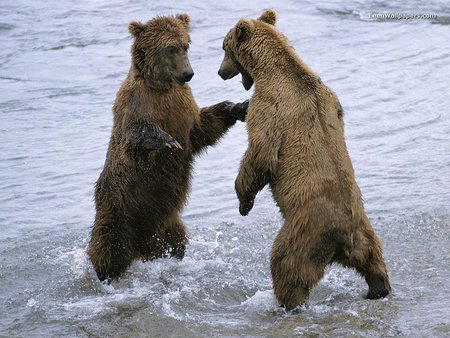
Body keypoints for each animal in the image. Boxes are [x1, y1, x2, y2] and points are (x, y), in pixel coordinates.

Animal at [86, 13, 248, 282]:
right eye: (170, 48)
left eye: (185, 45)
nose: (189, 73)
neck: (162, 86)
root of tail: (140, 248)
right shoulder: (135, 103)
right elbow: (133, 140)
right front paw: (165, 140)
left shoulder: (183, 108)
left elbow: (201, 129)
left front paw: (239, 106)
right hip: (117, 208)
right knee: (107, 248)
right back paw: (103, 274)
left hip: (168, 222)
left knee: (176, 242)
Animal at [218, 9, 390, 310]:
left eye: (224, 48)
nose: (220, 72)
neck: (272, 69)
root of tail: (345, 237)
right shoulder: (331, 98)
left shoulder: (270, 107)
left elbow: (261, 154)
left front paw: (243, 202)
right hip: (365, 232)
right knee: (374, 260)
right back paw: (378, 289)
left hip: (304, 230)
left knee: (286, 264)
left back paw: (286, 303)